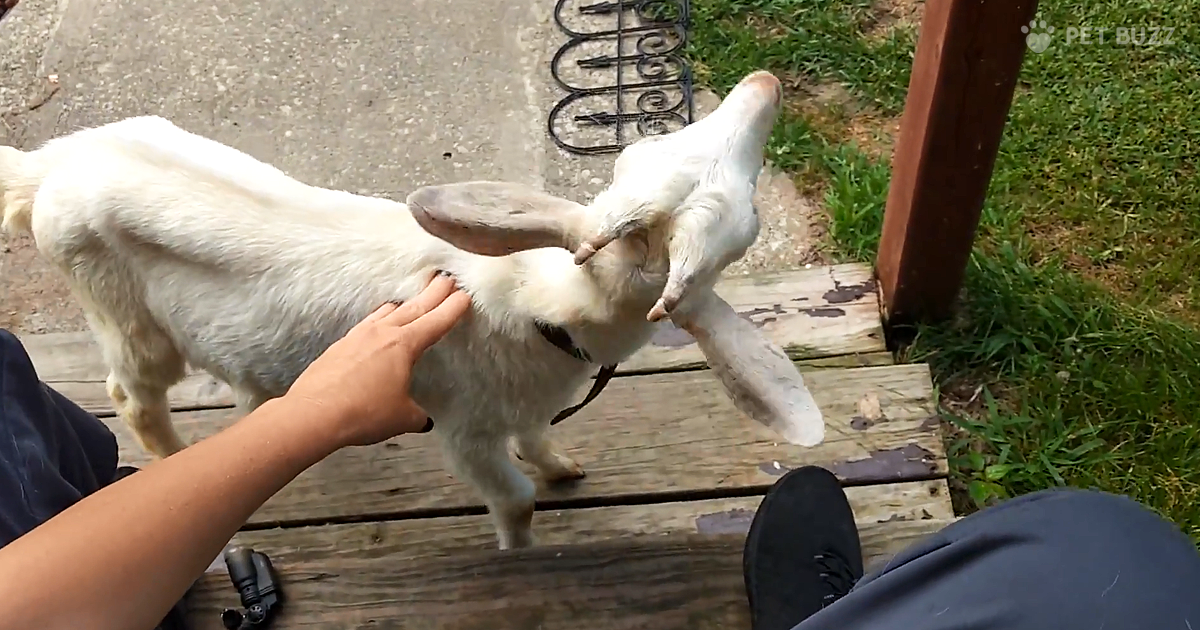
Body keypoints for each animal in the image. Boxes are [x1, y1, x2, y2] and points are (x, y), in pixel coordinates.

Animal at [0, 70, 825, 549]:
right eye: (749, 226)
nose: (764, 79)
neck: (542, 304)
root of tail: (52, 165)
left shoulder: (525, 403)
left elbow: (538, 441)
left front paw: (563, 465)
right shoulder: (464, 427)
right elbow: (513, 497)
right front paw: (521, 550)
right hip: (121, 312)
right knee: (131, 396)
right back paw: (173, 459)